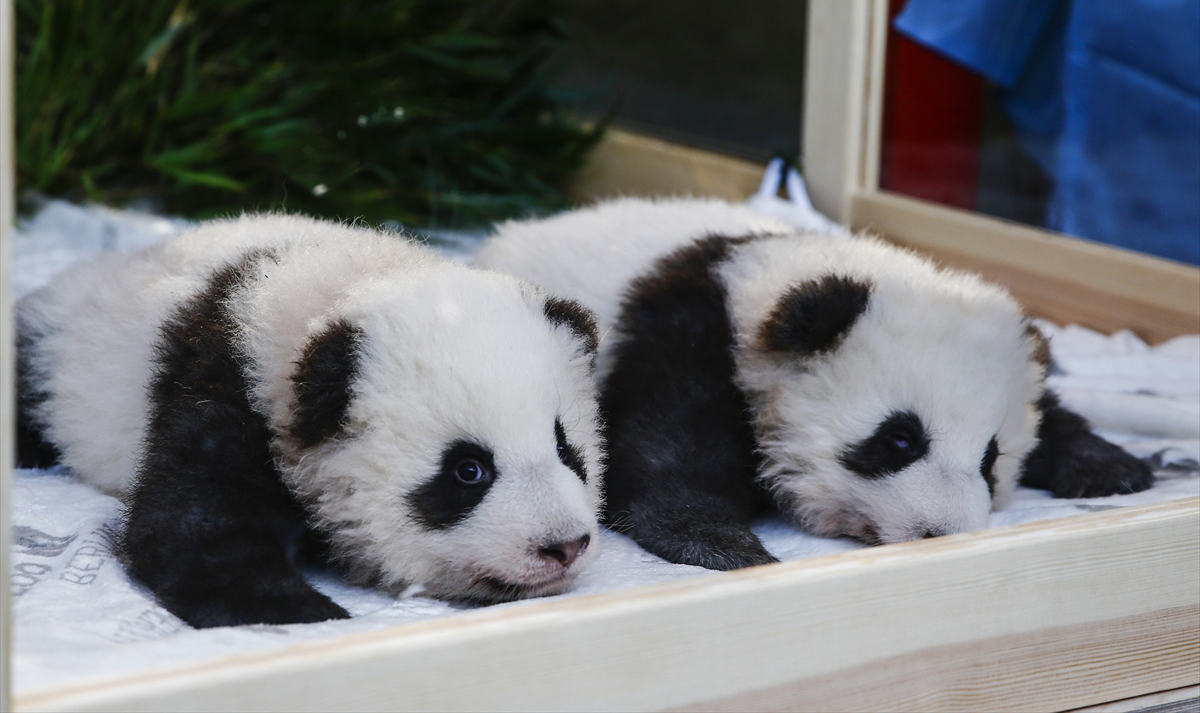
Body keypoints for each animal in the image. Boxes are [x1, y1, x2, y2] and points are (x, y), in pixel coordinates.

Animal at [17, 214, 604, 628]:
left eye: (566, 449)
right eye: (468, 471)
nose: (564, 546)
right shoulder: (225, 383)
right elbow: (189, 523)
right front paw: (299, 612)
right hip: (57, 350)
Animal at [475, 197, 1154, 570]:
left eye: (991, 460)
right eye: (899, 440)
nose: (942, 535)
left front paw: (1113, 467)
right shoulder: (689, 329)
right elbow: (665, 450)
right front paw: (724, 546)